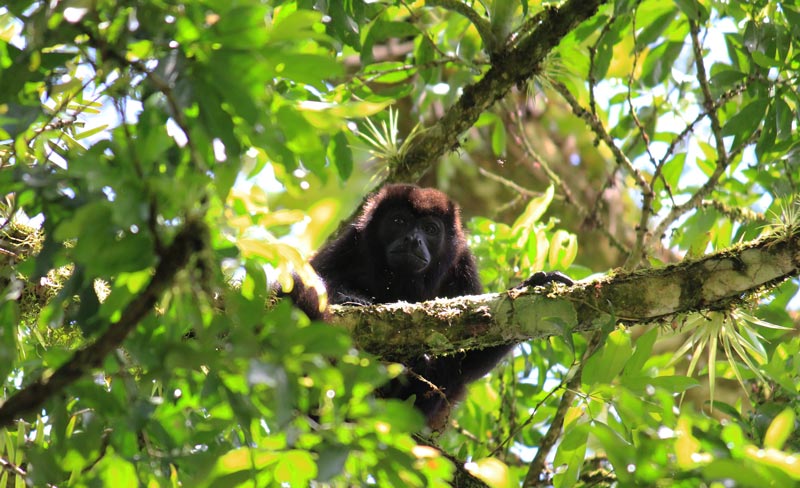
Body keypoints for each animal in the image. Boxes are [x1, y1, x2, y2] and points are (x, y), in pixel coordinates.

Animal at [290, 184, 572, 430]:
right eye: (398, 221)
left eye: (430, 228)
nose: (413, 239)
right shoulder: (351, 241)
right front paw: (349, 297)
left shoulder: (463, 265)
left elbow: (466, 364)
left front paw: (532, 284)